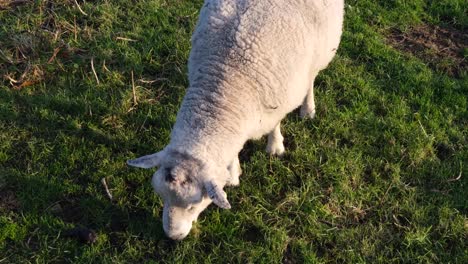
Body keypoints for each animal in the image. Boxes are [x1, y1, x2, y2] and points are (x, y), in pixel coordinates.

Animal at [128, 0, 344, 240]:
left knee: (312, 77)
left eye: (193, 206)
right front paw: (232, 173)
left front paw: (275, 146)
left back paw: (308, 108)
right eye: (162, 197)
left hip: (322, 48)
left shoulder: (278, 98)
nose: (173, 236)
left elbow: (275, 124)